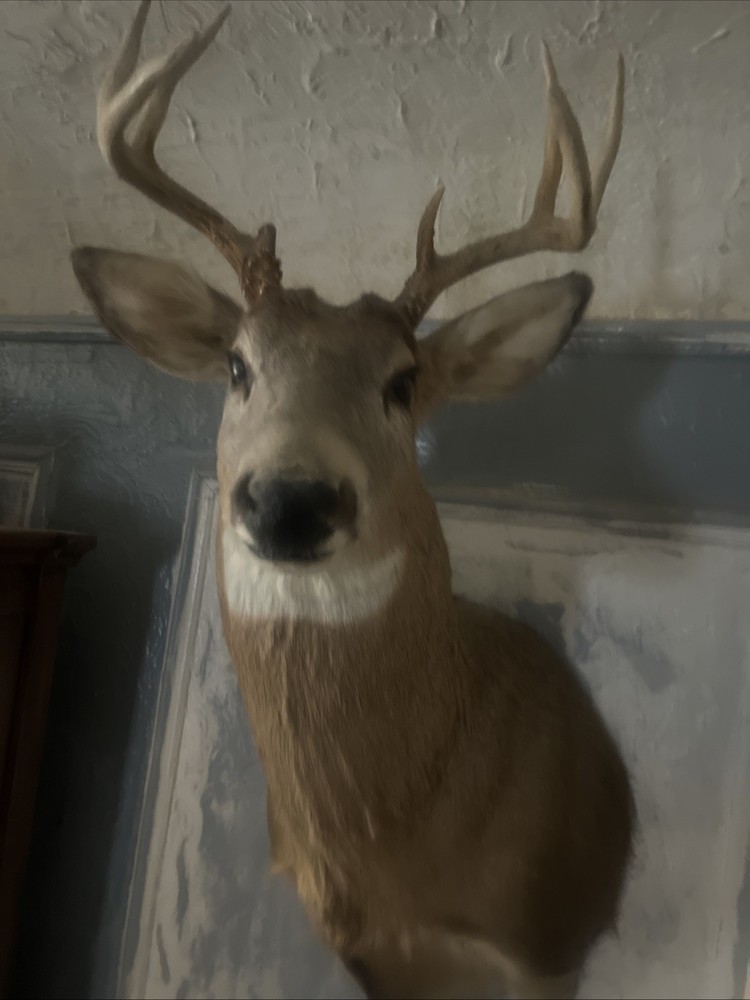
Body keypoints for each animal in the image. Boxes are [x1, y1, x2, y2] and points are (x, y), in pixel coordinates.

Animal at [71, 2, 634, 997]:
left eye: (402, 383)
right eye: (236, 365)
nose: (290, 498)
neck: (397, 868)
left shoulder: (546, 946)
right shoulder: (364, 954)